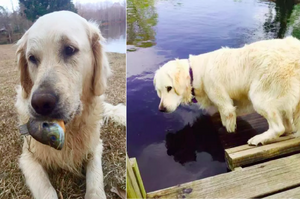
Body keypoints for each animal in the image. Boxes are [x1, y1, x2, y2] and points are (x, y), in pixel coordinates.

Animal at [15, 11, 125, 199]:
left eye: (69, 49)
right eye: (32, 58)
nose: (41, 103)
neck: (70, 130)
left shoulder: (95, 147)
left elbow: (95, 180)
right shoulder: (27, 158)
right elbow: (47, 190)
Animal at [155, 37, 300, 146]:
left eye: (169, 88)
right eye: (159, 91)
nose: (161, 109)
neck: (195, 74)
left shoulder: (224, 104)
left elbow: (227, 121)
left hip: (259, 95)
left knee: (278, 128)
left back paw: (258, 139)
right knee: (288, 127)